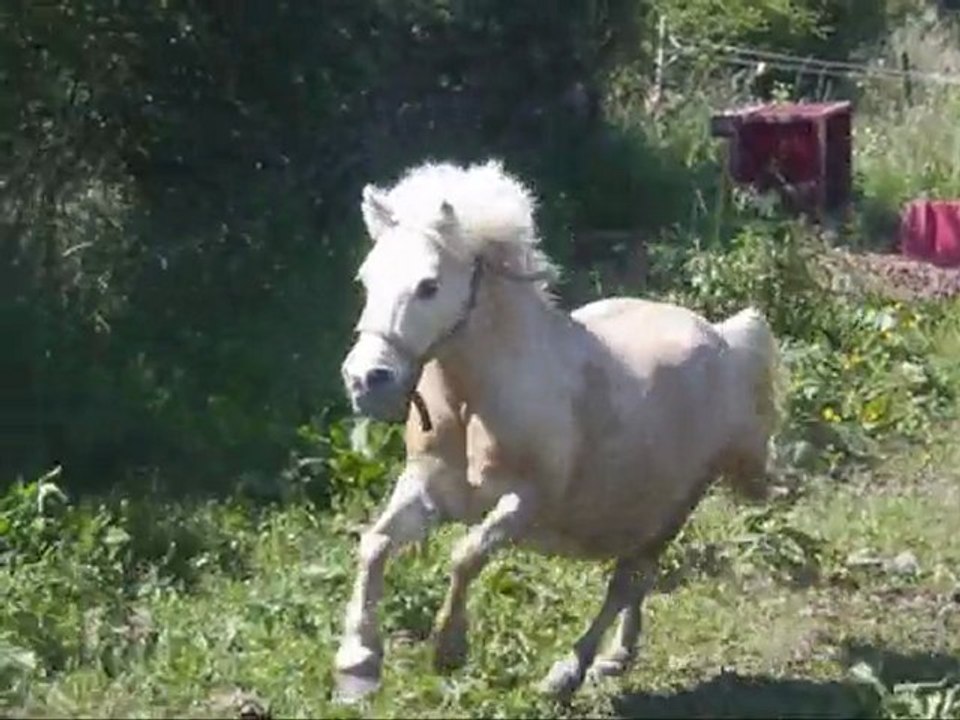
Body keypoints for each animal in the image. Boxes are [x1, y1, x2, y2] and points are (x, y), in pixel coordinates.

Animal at [335, 159, 783, 701]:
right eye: (366, 279)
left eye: (428, 286)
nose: (366, 379)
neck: (475, 402)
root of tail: (723, 339)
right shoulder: (429, 487)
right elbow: (375, 543)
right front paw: (358, 661)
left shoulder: (526, 502)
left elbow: (465, 556)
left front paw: (448, 648)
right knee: (637, 580)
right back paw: (616, 658)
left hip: (677, 506)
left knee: (628, 581)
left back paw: (569, 671)